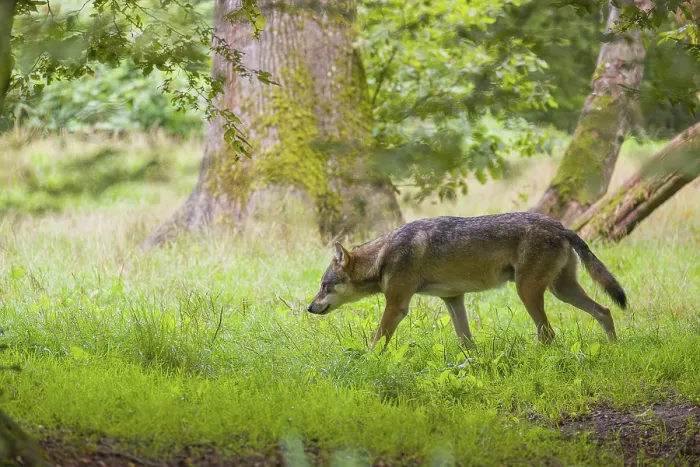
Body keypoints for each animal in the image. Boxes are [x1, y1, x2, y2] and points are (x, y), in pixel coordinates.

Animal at [307, 213, 627, 349]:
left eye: (323, 286)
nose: (309, 308)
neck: (383, 255)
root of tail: (561, 226)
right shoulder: (453, 299)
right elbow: (465, 341)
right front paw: (472, 364)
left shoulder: (397, 307)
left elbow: (377, 341)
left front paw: (368, 360)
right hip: (562, 291)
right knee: (605, 311)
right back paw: (614, 348)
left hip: (528, 292)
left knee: (548, 333)